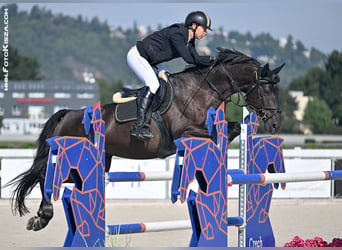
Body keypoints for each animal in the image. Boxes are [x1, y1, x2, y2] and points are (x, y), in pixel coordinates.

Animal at [8, 47, 284, 232]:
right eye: (266, 88)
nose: (274, 124)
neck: (202, 90)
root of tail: (67, 114)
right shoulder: (183, 133)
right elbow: (221, 132)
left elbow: (233, 128)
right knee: (45, 176)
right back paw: (42, 217)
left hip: (98, 162)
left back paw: (41, 216)